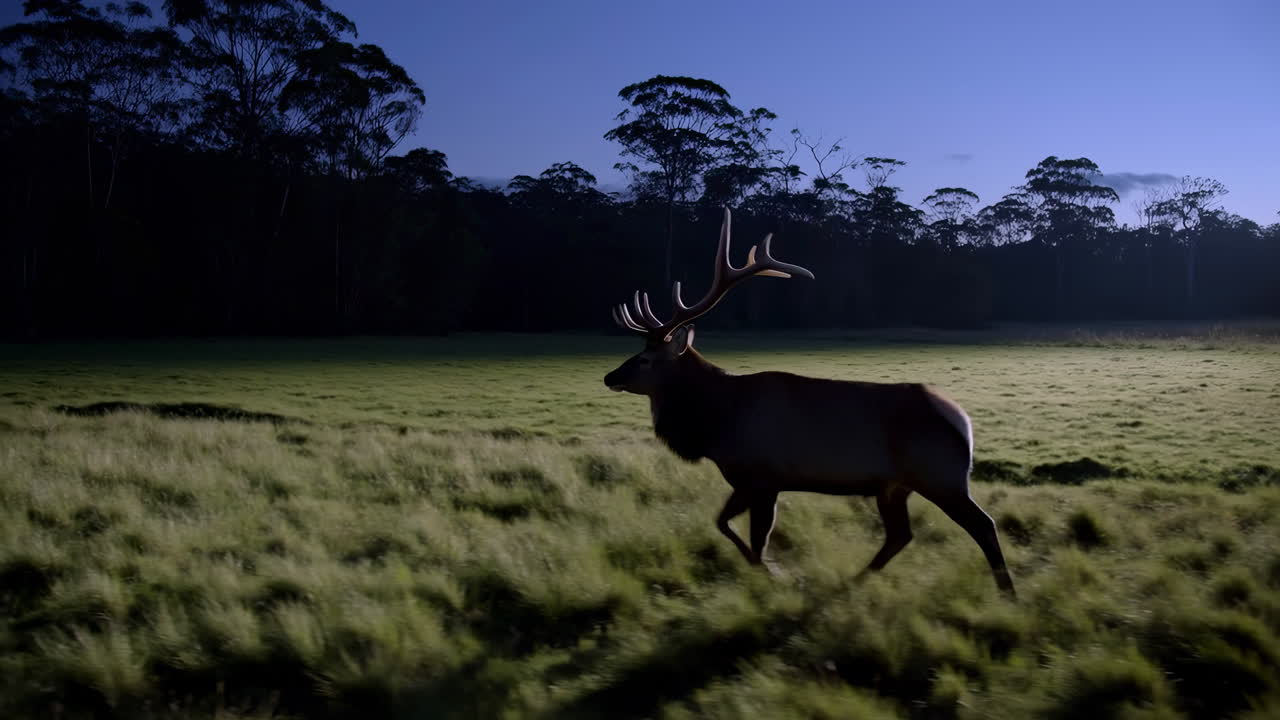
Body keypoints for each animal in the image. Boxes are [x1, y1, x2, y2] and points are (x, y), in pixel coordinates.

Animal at [604, 209, 1016, 596]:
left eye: (645, 359)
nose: (610, 377)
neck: (718, 423)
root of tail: (963, 422)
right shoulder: (746, 478)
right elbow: (722, 522)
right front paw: (767, 570)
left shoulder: (763, 475)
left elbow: (756, 538)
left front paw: (773, 574)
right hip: (895, 485)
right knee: (900, 534)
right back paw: (855, 581)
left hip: (941, 475)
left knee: (982, 524)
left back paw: (1007, 592)